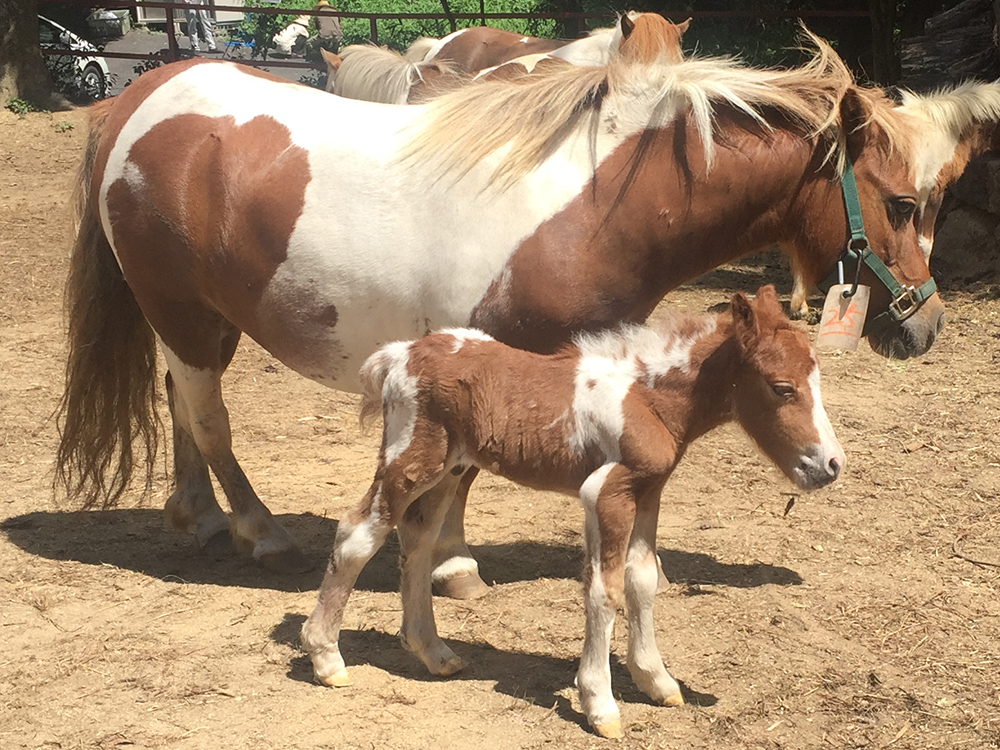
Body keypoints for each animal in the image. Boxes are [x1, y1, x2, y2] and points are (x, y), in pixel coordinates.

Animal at [302, 288, 844, 740]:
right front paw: (600, 704)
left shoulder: (649, 491)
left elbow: (642, 578)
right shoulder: (606, 493)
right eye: (782, 387)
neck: (647, 397)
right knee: (357, 534)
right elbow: (604, 591)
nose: (831, 465)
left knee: (416, 542)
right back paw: (326, 657)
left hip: (449, 469)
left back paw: (434, 653)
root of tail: (400, 355)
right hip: (410, 459)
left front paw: (657, 681)